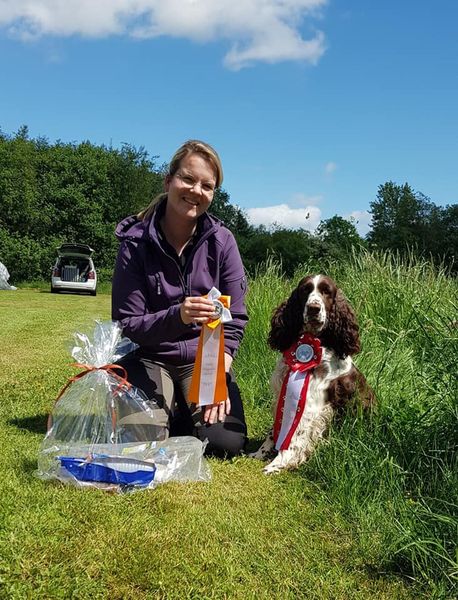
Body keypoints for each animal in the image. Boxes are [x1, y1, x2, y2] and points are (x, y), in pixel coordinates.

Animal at [250, 274, 376, 476]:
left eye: (326, 291)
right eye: (305, 290)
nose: (314, 308)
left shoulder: (311, 406)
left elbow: (294, 437)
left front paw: (279, 463)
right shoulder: (282, 395)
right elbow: (274, 430)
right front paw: (260, 453)